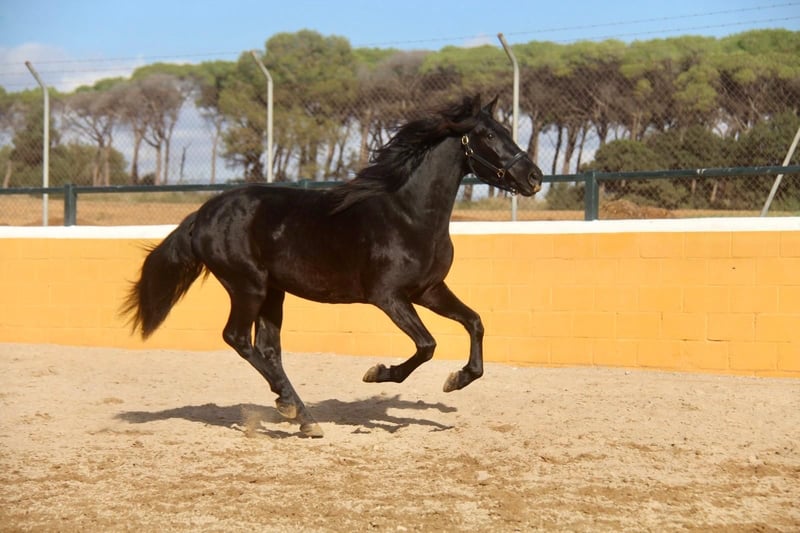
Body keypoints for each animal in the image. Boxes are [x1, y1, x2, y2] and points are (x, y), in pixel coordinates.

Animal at [122, 94, 543, 438]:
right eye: (487, 135)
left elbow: (474, 322)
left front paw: (458, 379)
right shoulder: (388, 296)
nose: (534, 177)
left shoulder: (428, 290)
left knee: (268, 349)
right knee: (238, 338)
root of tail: (203, 214)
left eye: (507, 130)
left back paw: (302, 416)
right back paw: (292, 407)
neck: (409, 216)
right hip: (247, 286)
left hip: (273, 293)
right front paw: (378, 374)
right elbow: (427, 345)